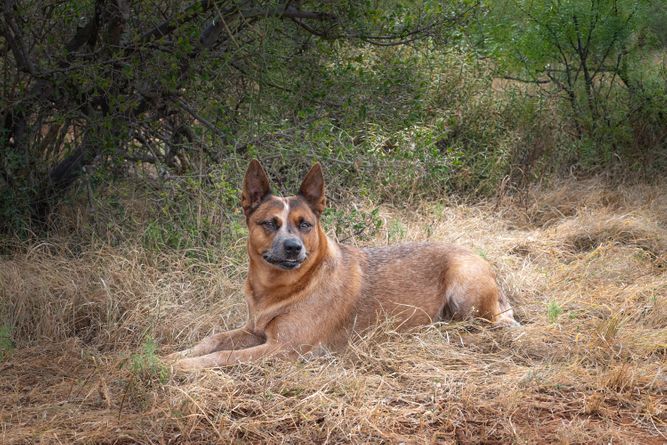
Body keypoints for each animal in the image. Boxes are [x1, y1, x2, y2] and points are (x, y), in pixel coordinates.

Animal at [166, 159, 516, 368]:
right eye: (269, 223)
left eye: (305, 224)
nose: (293, 248)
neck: (281, 288)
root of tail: (483, 261)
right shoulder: (254, 330)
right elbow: (213, 340)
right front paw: (173, 355)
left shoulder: (283, 348)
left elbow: (223, 355)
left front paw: (182, 366)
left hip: (465, 285)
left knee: (496, 326)